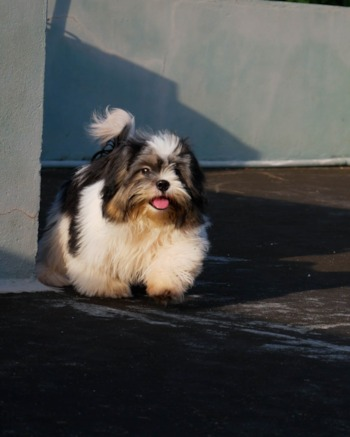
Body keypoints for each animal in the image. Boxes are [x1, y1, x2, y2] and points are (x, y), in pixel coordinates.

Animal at [37, 107, 209, 302]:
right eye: (145, 170)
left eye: (176, 171)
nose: (163, 183)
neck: (145, 218)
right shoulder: (97, 242)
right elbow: (99, 264)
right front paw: (110, 287)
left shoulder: (179, 240)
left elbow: (173, 259)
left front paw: (166, 286)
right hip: (62, 224)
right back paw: (51, 275)